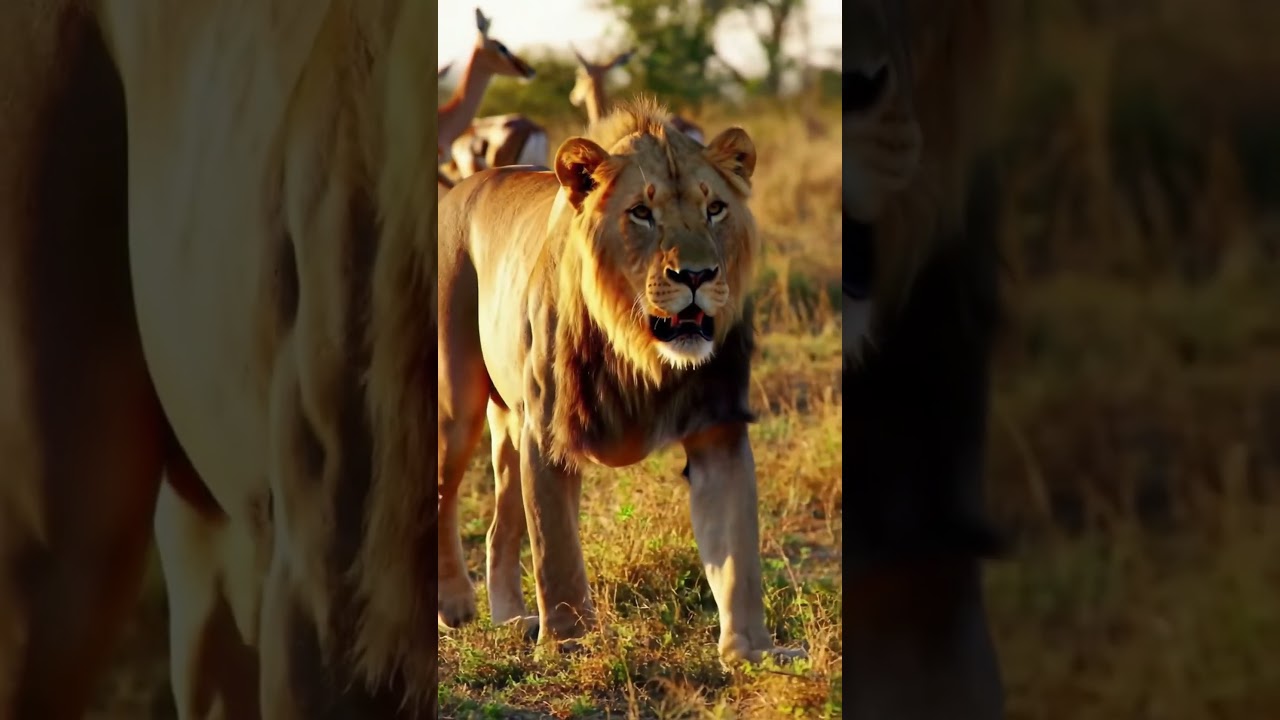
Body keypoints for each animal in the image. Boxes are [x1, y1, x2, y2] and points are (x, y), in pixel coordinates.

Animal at [436, 97, 805, 665]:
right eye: (641, 213)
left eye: (715, 209)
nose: (696, 276)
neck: (641, 351)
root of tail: (466, 184)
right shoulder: (547, 431)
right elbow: (557, 551)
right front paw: (567, 642)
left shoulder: (719, 428)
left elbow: (738, 554)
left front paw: (753, 651)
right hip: (458, 409)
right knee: (442, 492)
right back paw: (454, 606)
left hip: (510, 425)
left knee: (500, 526)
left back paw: (511, 619)